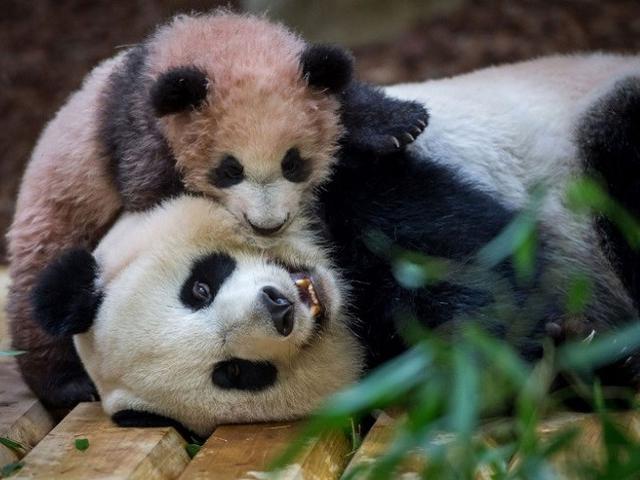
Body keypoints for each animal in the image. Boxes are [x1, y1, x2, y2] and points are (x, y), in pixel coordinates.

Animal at [7, 10, 426, 407]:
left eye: (293, 163)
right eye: (229, 170)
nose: (268, 225)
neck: (213, 43)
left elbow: (341, 93)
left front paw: (399, 123)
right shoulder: (137, 135)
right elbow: (154, 198)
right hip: (58, 216)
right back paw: (66, 384)